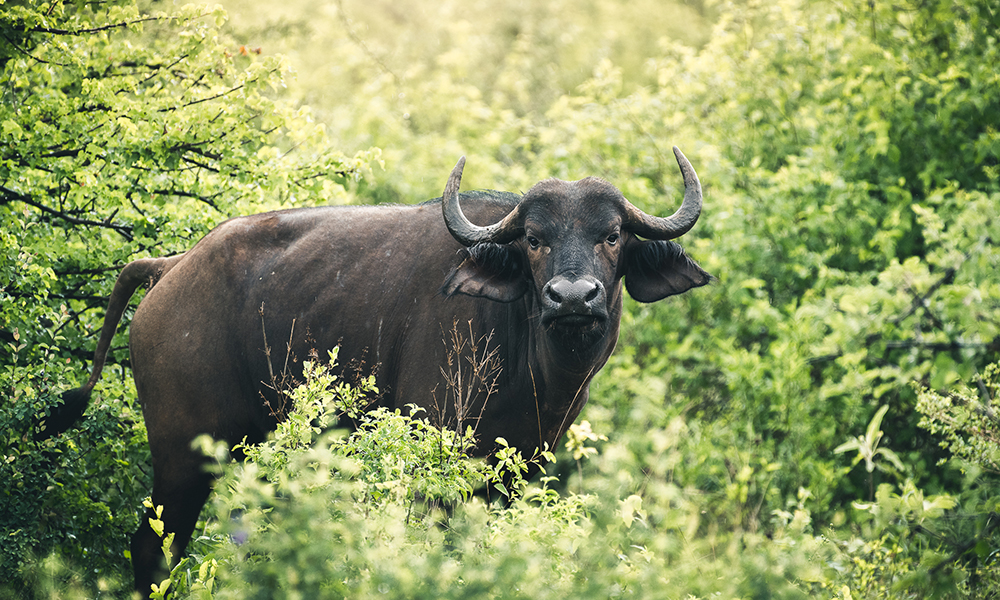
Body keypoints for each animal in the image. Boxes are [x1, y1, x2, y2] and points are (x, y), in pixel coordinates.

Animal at [41, 148, 712, 592]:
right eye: (535, 239)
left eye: (612, 234)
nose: (573, 298)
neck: (532, 369)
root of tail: (171, 266)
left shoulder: (516, 474)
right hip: (183, 455)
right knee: (155, 547)